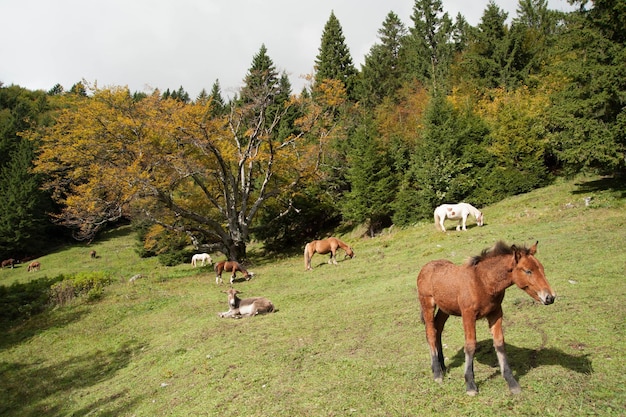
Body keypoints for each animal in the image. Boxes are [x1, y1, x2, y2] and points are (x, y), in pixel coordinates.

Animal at [416, 240, 552, 394]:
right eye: (528, 271)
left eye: (542, 268)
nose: (550, 297)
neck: (483, 282)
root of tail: (426, 267)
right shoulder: (468, 315)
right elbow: (470, 345)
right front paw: (470, 385)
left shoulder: (496, 313)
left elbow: (499, 343)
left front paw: (512, 383)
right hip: (428, 304)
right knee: (431, 333)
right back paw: (437, 373)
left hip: (445, 309)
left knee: (438, 328)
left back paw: (443, 366)